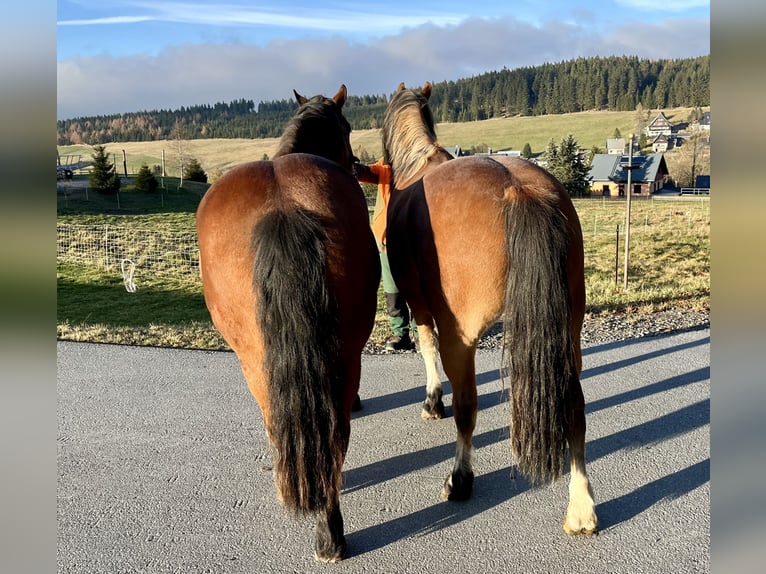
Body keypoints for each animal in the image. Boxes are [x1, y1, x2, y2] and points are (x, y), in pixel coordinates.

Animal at [378, 81, 600, 536]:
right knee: (575, 407)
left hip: (461, 336)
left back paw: (460, 479)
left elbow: (426, 347)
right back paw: (581, 507)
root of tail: (519, 189)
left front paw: (432, 403)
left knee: (468, 407)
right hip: (568, 329)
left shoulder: (421, 304)